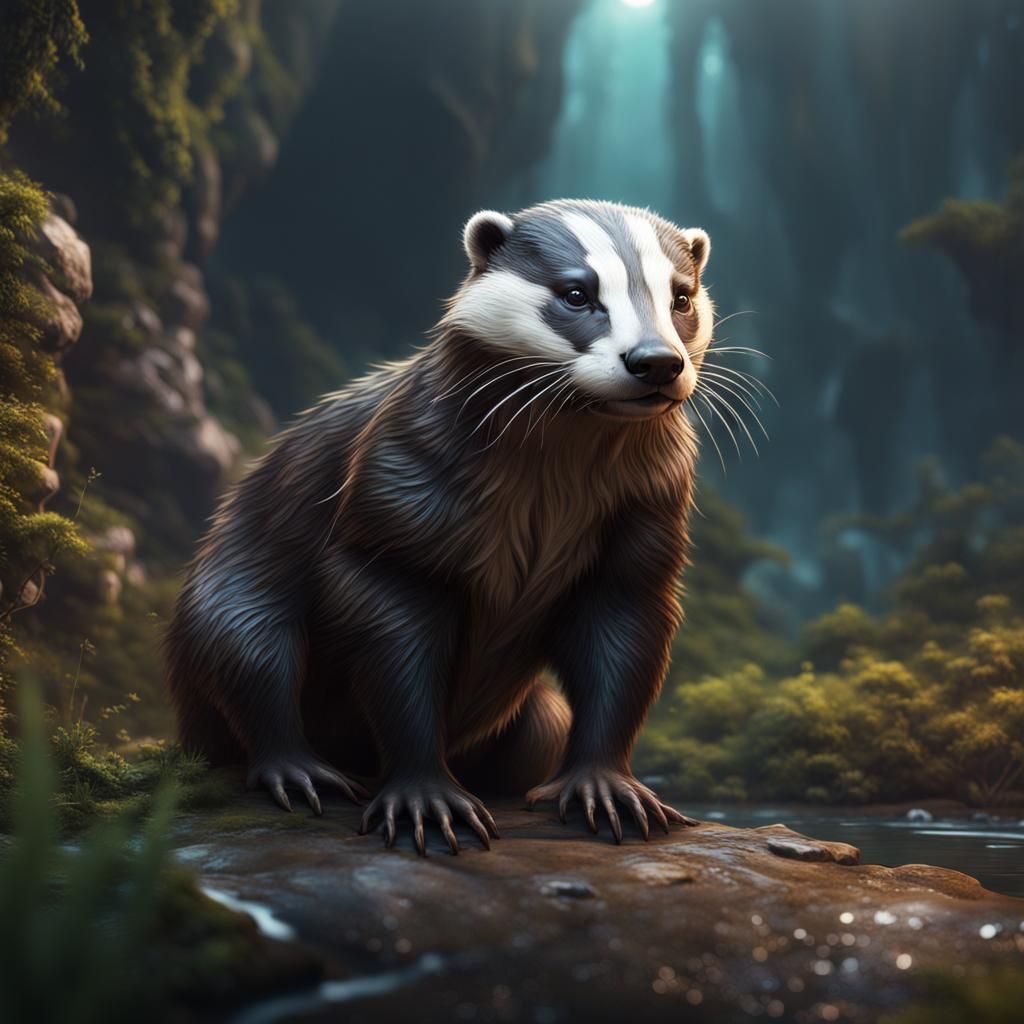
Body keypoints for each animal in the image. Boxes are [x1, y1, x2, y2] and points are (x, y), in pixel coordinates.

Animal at [165, 199, 715, 855]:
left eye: (680, 297)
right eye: (577, 293)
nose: (655, 361)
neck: (560, 471)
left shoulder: (646, 500)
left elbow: (625, 624)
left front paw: (611, 791)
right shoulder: (403, 475)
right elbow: (393, 628)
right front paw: (426, 800)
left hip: (532, 713)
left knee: (542, 729)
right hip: (228, 580)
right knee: (248, 646)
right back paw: (301, 772)